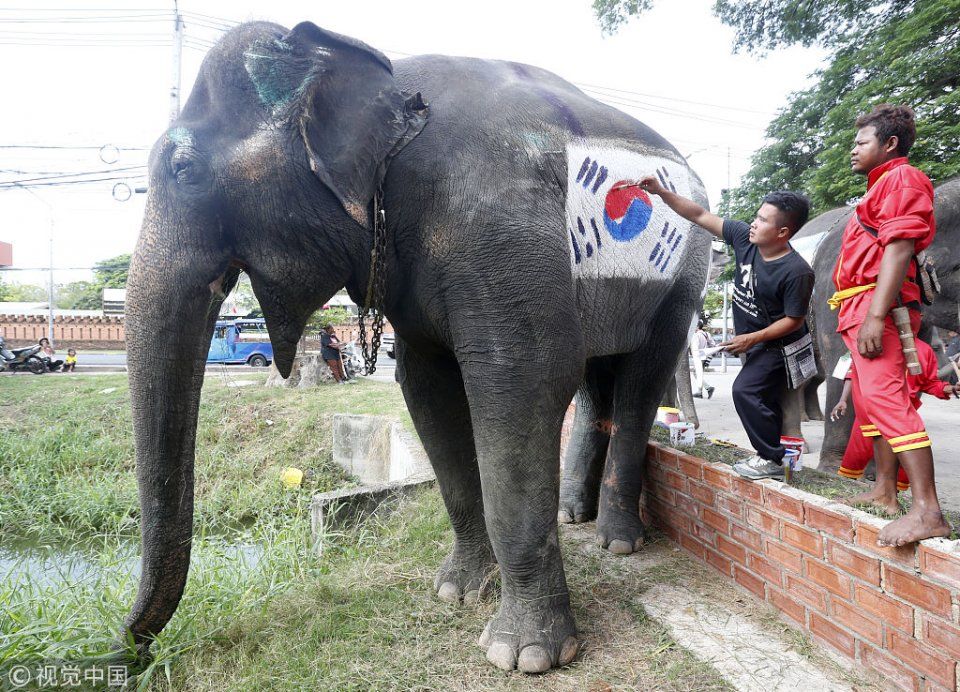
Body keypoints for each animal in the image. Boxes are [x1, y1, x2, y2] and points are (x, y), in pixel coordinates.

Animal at [120, 20, 708, 672]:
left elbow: (522, 383)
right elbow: (428, 391)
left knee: (639, 382)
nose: (133, 649)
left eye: (185, 171)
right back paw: (572, 514)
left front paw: (524, 655)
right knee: (595, 381)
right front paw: (458, 591)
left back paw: (617, 542)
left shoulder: (498, 224)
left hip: (686, 272)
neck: (389, 83)